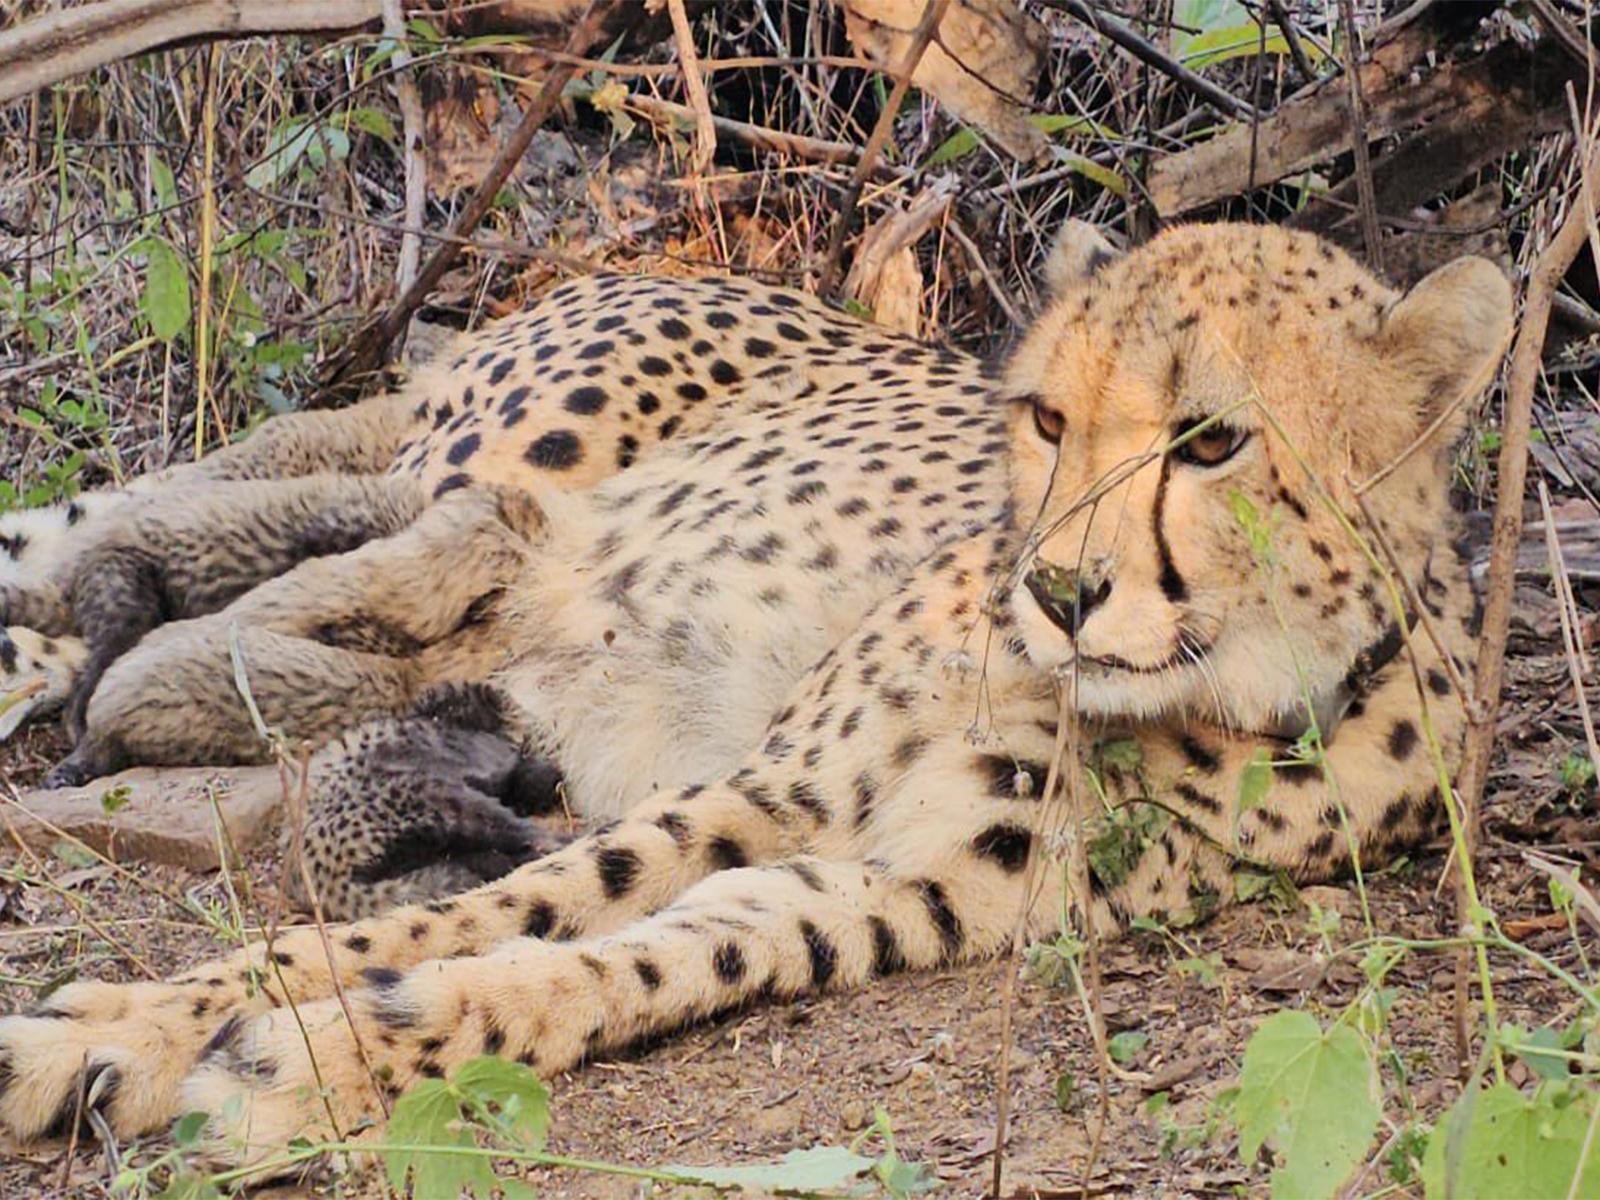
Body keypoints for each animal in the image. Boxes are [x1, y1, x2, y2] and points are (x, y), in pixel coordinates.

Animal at [0, 221, 1511, 1166]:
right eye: (1046, 419)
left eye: (1210, 443)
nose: (1059, 590)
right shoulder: (767, 788)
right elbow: (482, 910)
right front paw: (120, 1029)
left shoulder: (897, 891)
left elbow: (638, 955)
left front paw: (318, 1060)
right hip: (490, 458)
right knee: (142, 519)